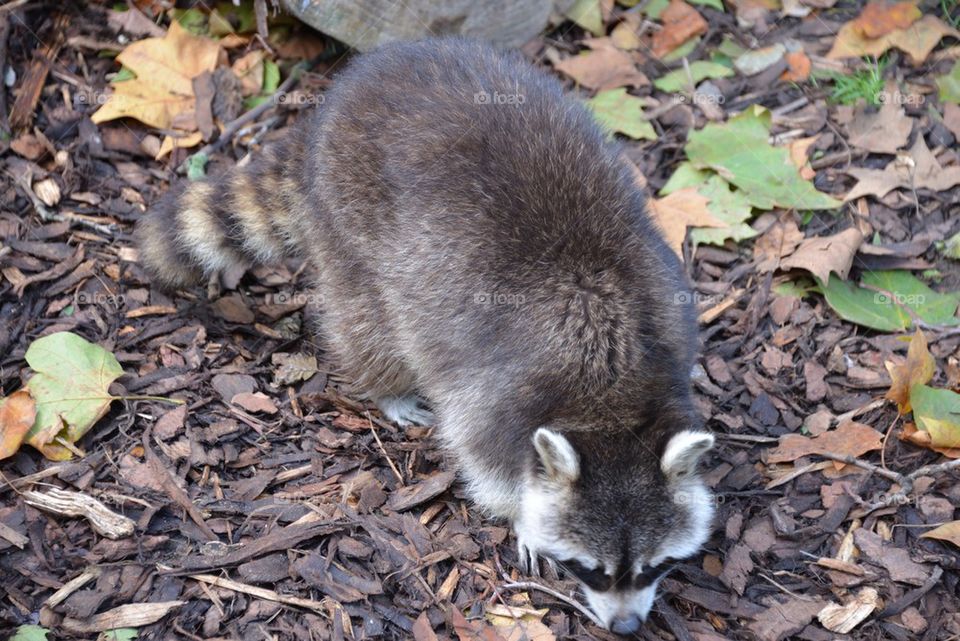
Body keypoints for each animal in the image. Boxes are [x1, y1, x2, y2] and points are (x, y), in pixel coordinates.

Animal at [137, 38, 715, 633]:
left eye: (654, 567)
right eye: (590, 569)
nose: (626, 627)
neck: (611, 407)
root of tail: (348, 87)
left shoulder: (669, 327)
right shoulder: (496, 393)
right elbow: (483, 458)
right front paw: (521, 516)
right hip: (351, 216)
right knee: (368, 320)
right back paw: (387, 387)